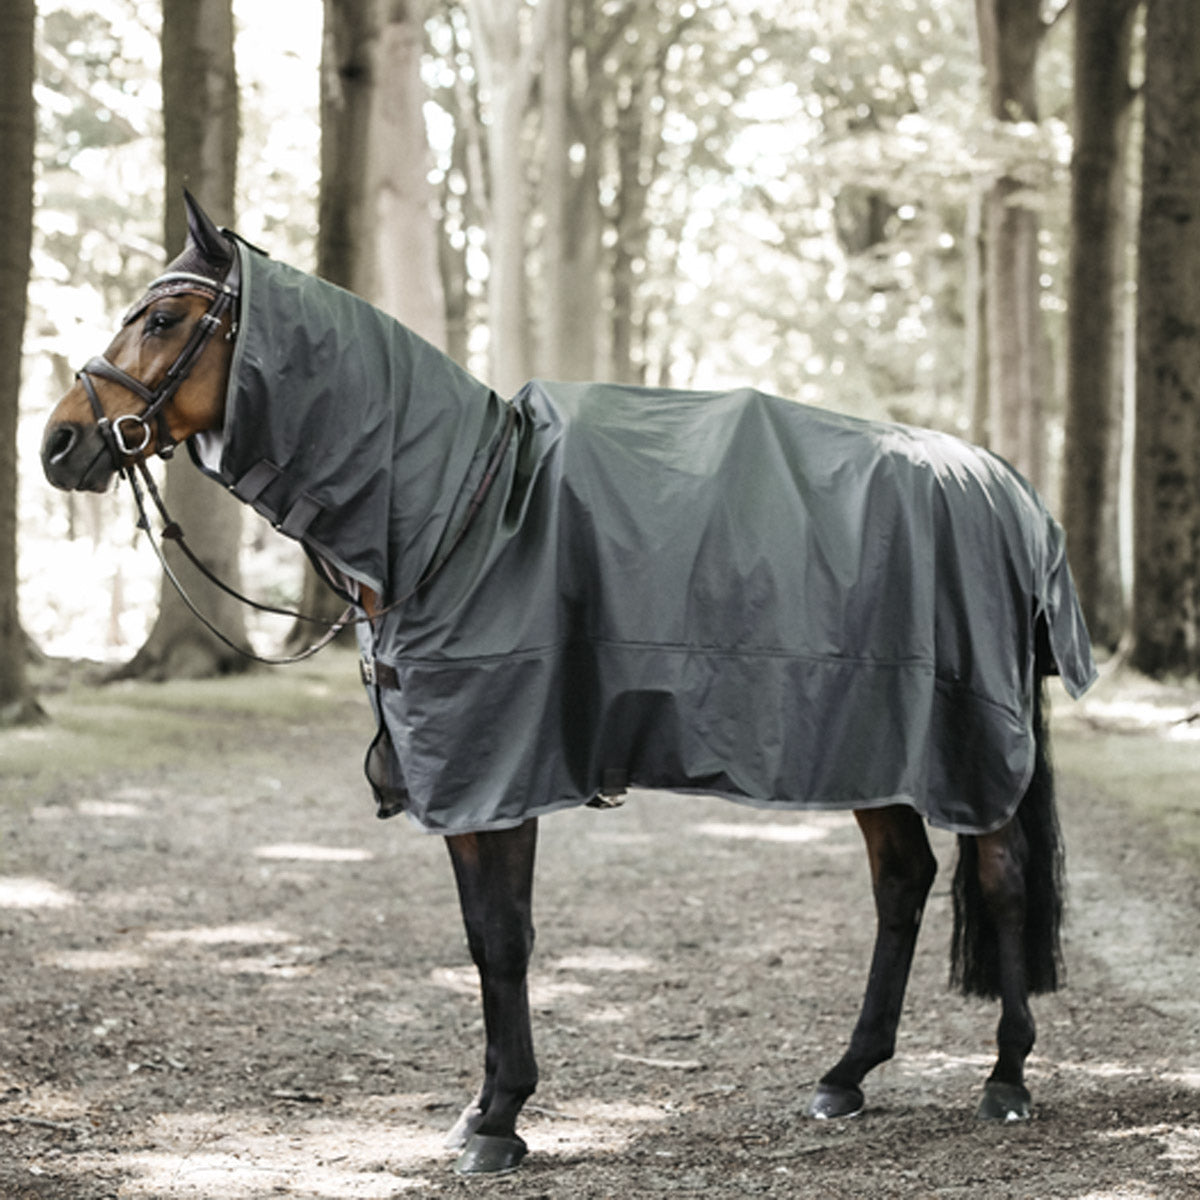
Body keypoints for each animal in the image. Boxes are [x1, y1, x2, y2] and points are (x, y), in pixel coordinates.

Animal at [42, 193, 1097, 1175]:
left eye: (163, 318)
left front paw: (500, 1121)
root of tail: (1005, 488)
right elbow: (482, 939)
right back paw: (847, 1075)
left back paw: (1007, 1077)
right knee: (903, 881)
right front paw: (482, 1109)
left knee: (999, 879)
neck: (456, 510)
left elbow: (506, 940)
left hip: (964, 744)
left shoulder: (499, 771)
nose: (57, 444)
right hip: (876, 744)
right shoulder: (468, 782)